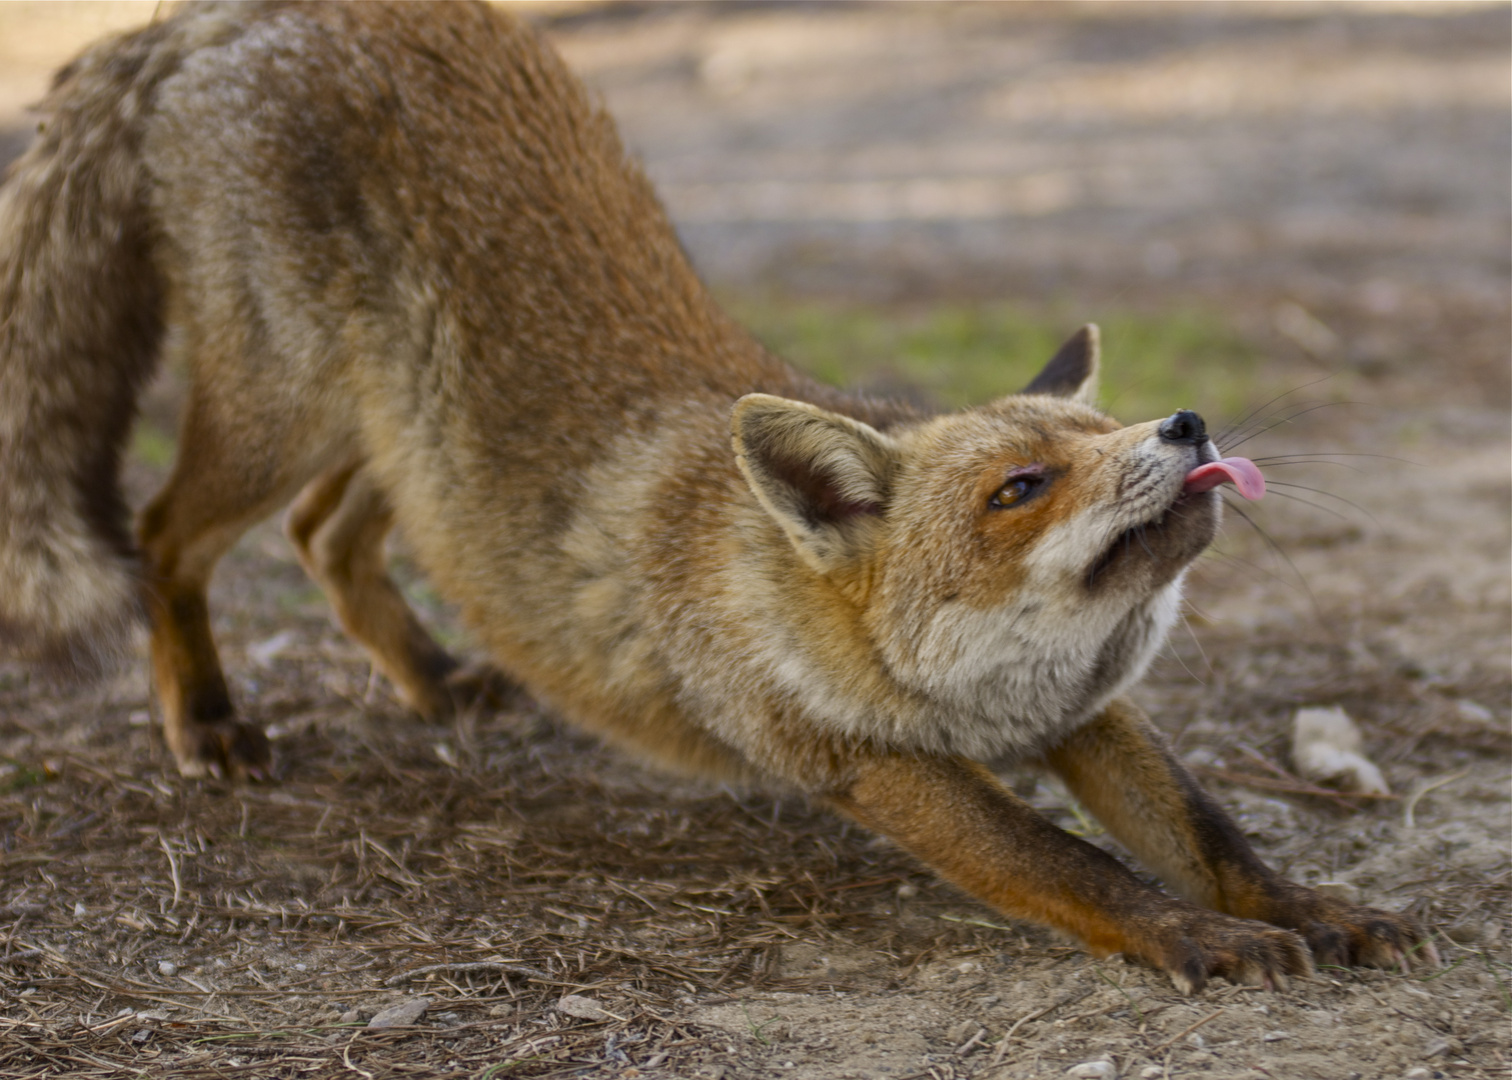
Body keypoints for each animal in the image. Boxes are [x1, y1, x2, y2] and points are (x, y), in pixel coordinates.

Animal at [0, 2, 1433, 992]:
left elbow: (1213, 835)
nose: (1185, 423)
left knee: (325, 536)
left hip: (378, 432)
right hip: (282, 413)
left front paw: (1313, 911)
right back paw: (207, 720)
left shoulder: (1087, 716)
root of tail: (232, 16)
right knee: (162, 535)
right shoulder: (868, 764)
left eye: (1099, 429)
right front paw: (1193, 938)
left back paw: (432, 678)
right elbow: (1078, 866)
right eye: (1020, 487)